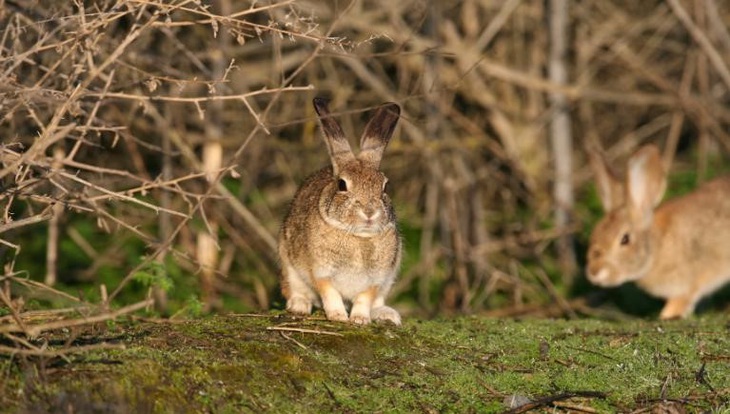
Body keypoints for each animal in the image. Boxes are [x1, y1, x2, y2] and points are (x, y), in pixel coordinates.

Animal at [278, 98, 404, 326]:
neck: (359, 237)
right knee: (294, 289)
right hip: (288, 264)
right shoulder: (321, 272)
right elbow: (330, 294)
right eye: (342, 185)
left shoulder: (376, 279)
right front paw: (338, 316)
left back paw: (387, 314)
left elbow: (365, 299)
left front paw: (360, 319)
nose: (370, 212)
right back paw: (299, 305)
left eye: (385, 187)